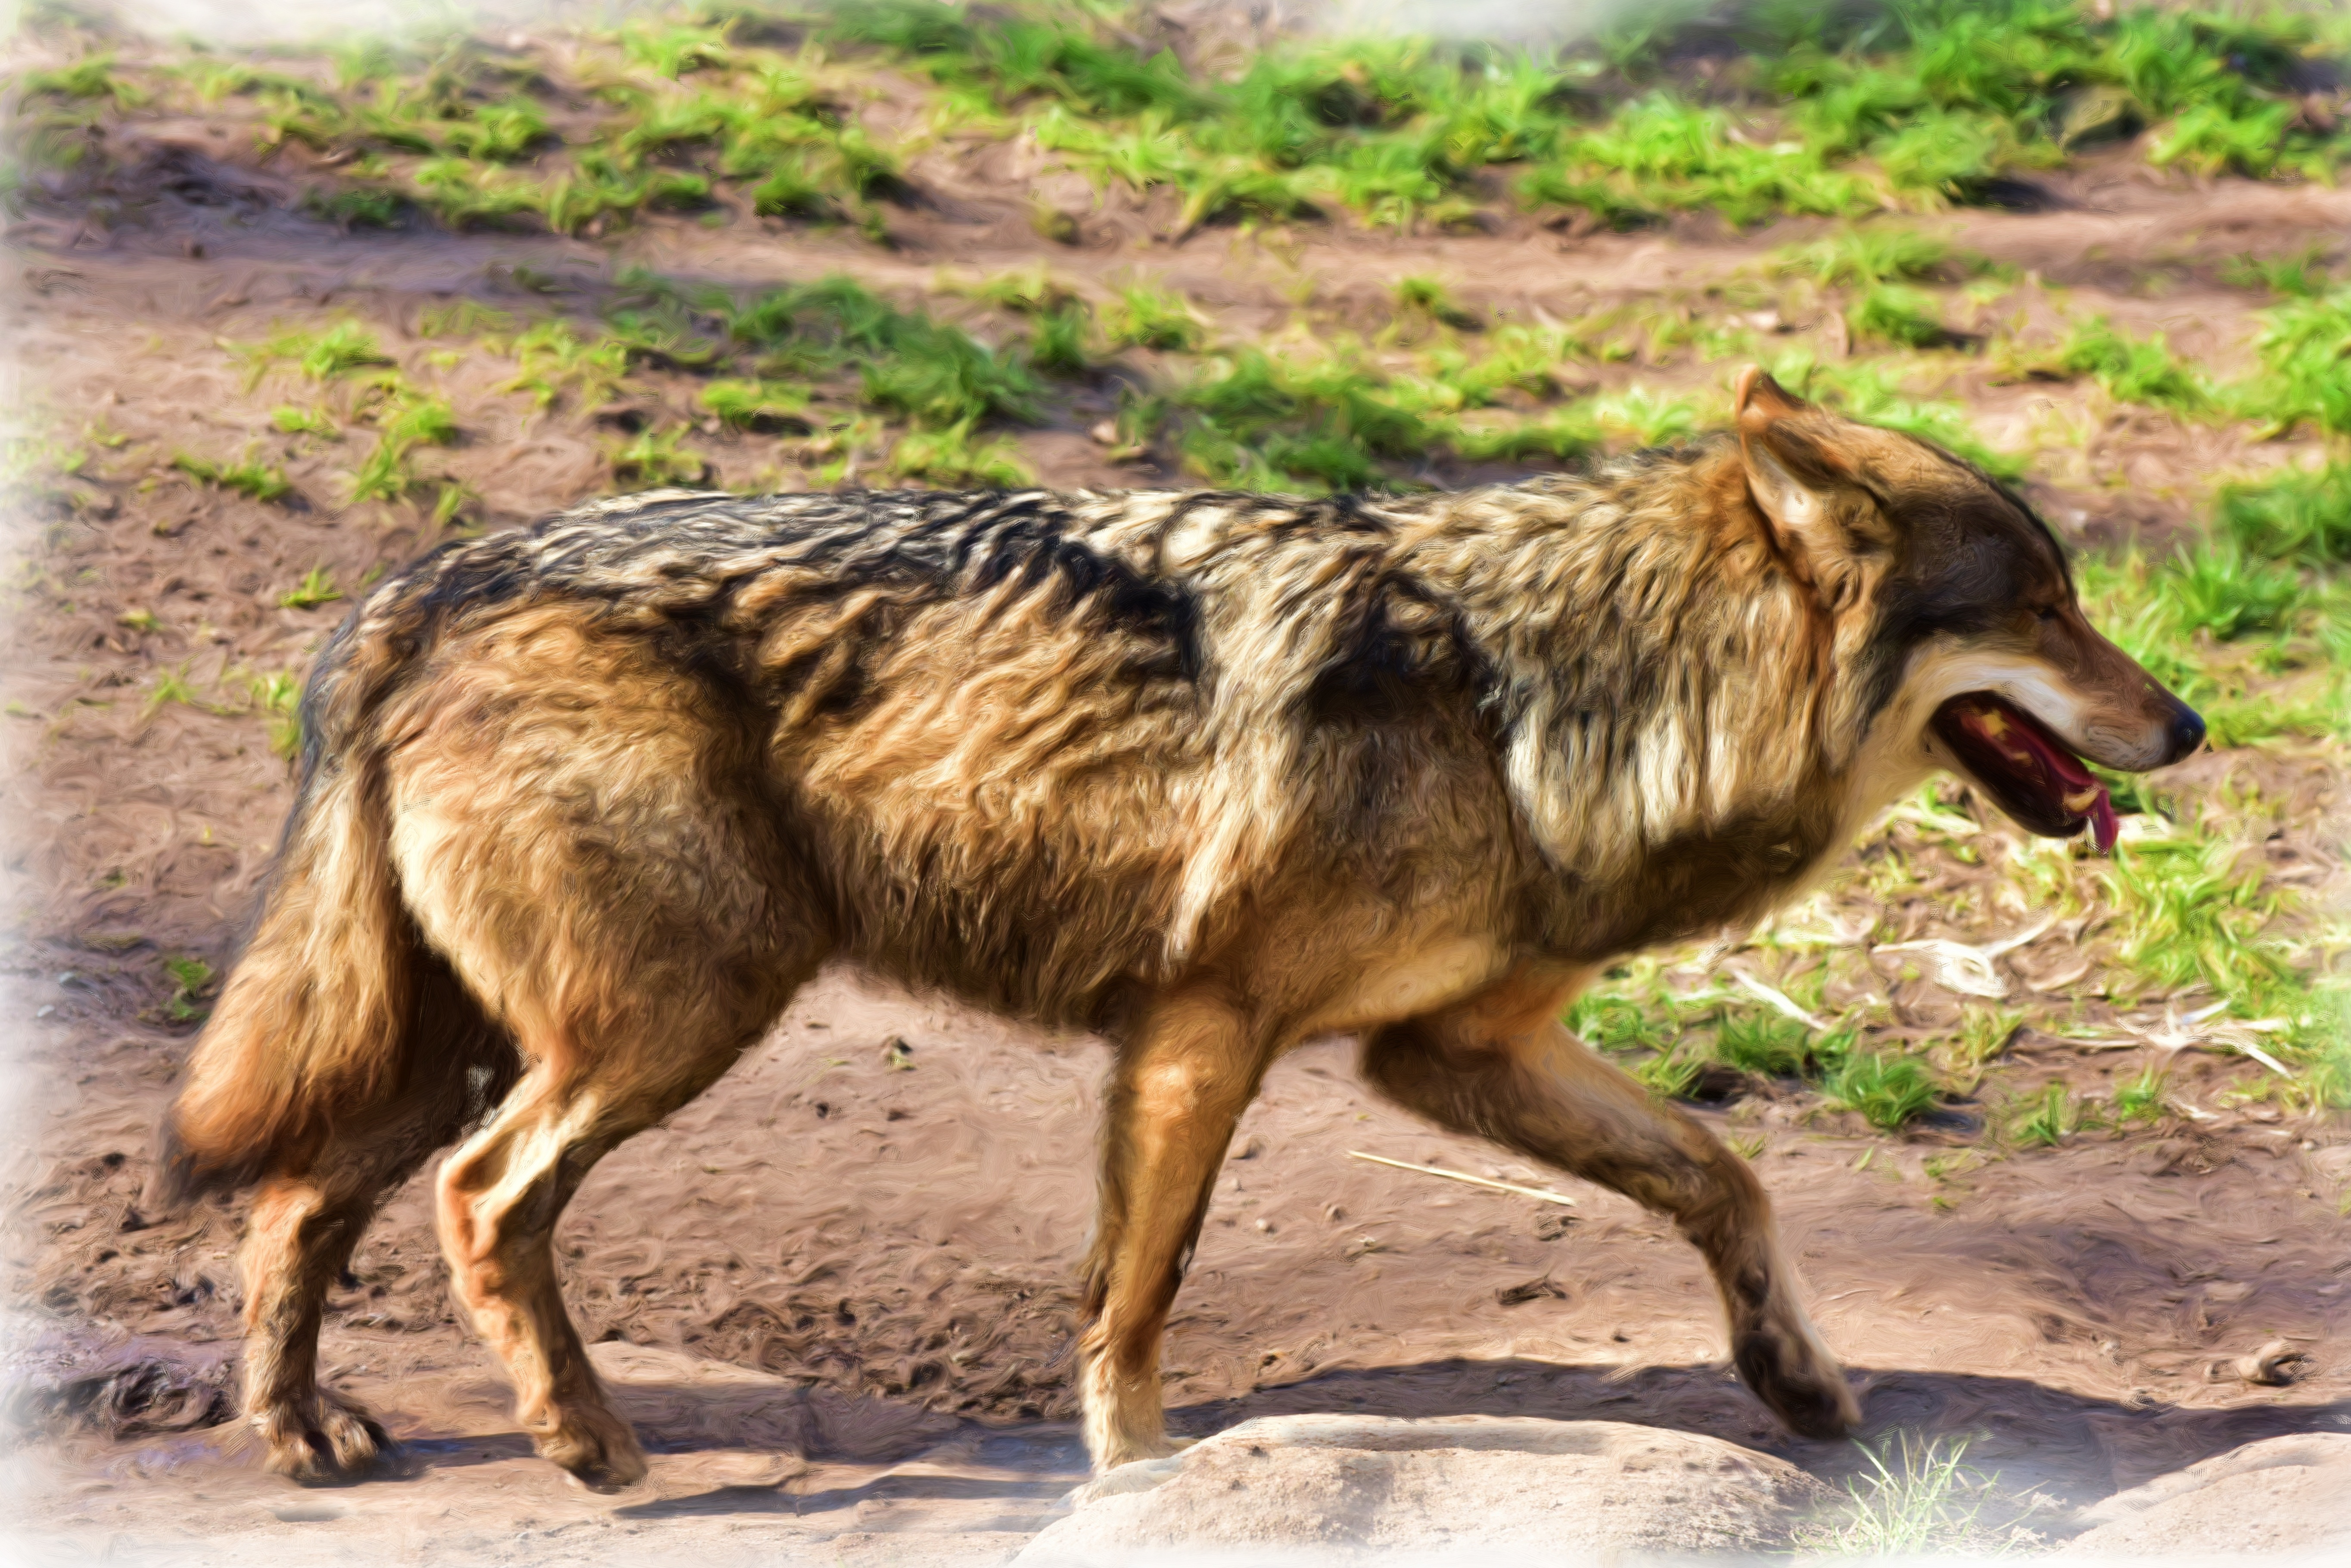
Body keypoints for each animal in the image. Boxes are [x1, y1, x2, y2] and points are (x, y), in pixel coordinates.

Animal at [152, 371, 2200, 1495]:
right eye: (2040, 605)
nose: (2186, 725)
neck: (1544, 686)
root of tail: (432, 573)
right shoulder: (1200, 1032)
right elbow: (1135, 1293)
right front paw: (1135, 1477)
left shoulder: (1455, 1052)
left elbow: (1723, 1180)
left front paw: (1798, 1382)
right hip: (665, 1020)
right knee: (477, 1202)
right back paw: (581, 1448)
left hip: (479, 1035)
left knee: (297, 1199)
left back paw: (301, 1438)